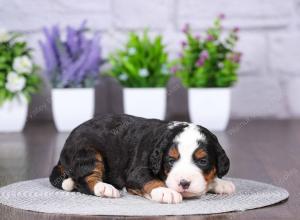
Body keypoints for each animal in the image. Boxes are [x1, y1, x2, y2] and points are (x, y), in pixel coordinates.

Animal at [50, 114, 236, 204]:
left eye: (202, 161)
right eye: (171, 160)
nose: (183, 183)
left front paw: (220, 183)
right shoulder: (136, 172)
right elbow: (151, 180)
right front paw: (166, 192)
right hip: (88, 151)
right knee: (85, 180)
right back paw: (105, 188)